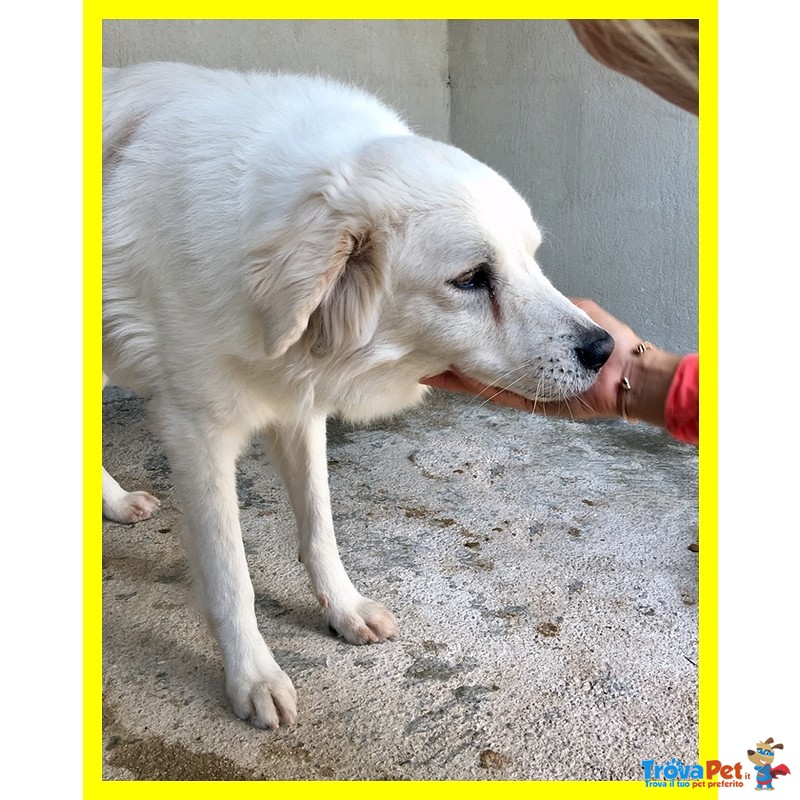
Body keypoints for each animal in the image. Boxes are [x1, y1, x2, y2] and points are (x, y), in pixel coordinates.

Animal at [101, 59, 612, 728]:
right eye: (472, 279)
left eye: (532, 258)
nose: (604, 349)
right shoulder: (197, 434)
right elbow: (231, 573)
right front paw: (252, 675)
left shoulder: (298, 408)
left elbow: (319, 523)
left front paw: (342, 608)